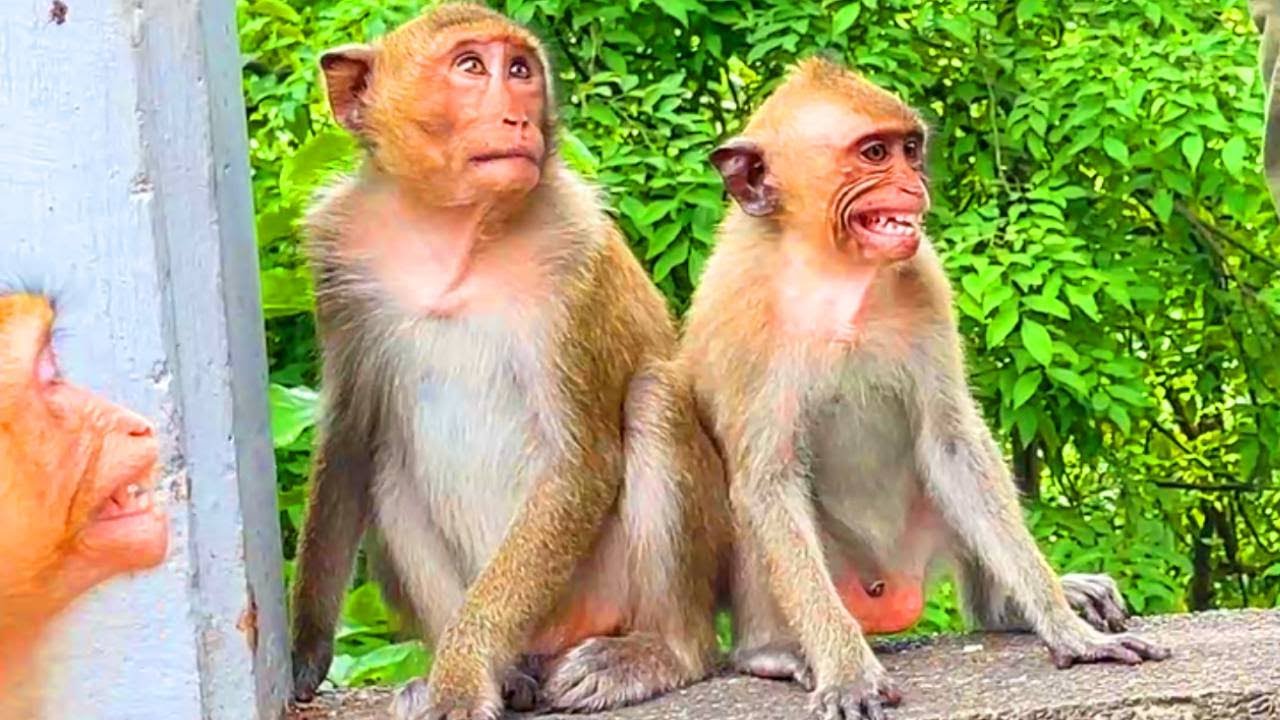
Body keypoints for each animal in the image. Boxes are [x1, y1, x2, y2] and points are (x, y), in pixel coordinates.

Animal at [285, 5, 730, 719]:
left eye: (519, 70)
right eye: (471, 66)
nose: (516, 117)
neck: (453, 233)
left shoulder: (573, 254)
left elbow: (579, 465)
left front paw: (463, 675)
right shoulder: (338, 255)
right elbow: (350, 439)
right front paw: (305, 650)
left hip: (606, 591)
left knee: (655, 400)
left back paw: (658, 653)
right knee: (386, 460)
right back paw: (501, 674)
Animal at [680, 57, 1169, 720]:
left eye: (910, 150)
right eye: (873, 153)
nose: (914, 186)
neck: (833, 273)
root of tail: (892, 588)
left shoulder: (925, 276)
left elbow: (954, 445)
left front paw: (1069, 631)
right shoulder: (742, 312)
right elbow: (767, 481)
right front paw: (847, 671)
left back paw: (1010, 610)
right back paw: (771, 652)